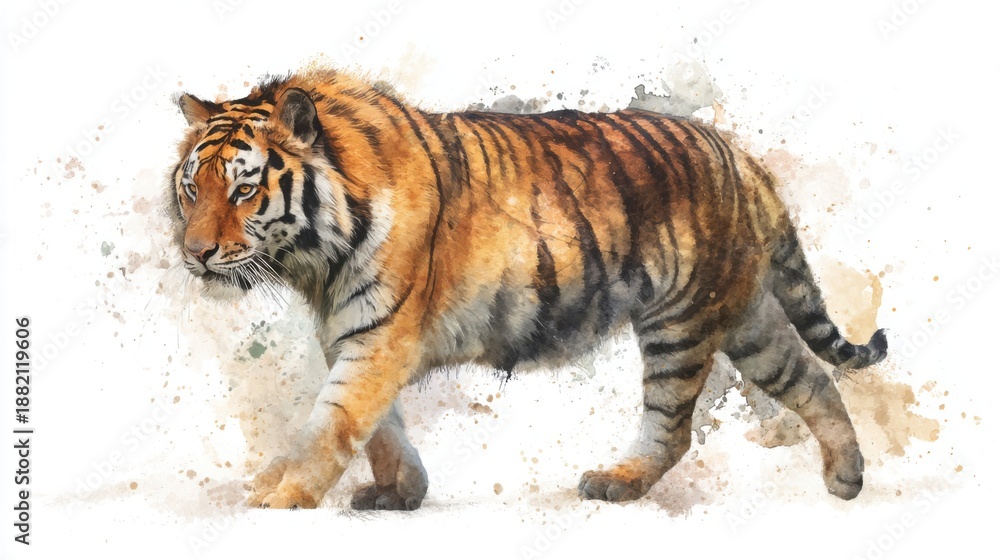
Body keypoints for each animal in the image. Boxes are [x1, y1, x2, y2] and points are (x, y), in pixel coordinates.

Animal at [168, 68, 888, 510]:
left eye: (244, 189)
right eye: (191, 188)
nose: (194, 253)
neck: (315, 258)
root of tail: (735, 153)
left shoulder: (378, 339)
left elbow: (332, 423)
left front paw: (281, 496)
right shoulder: (353, 333)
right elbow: (381, 429)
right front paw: (400, 493)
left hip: (682, 322)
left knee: (673, 425)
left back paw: (617, 481)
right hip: (745, 316)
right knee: (811, 376)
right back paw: (847, 478)